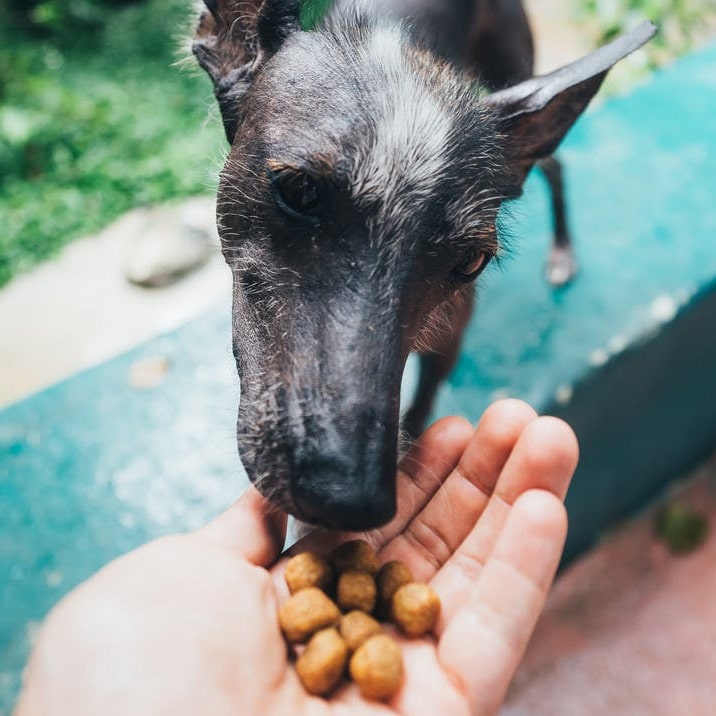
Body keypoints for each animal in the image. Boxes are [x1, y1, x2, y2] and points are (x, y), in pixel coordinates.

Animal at [192, 1, 656, 532]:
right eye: (299, 189)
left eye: (471, 261)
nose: (348, 500)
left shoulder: (450, 338)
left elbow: (418, 413)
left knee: (554, 166)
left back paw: (562, 251)